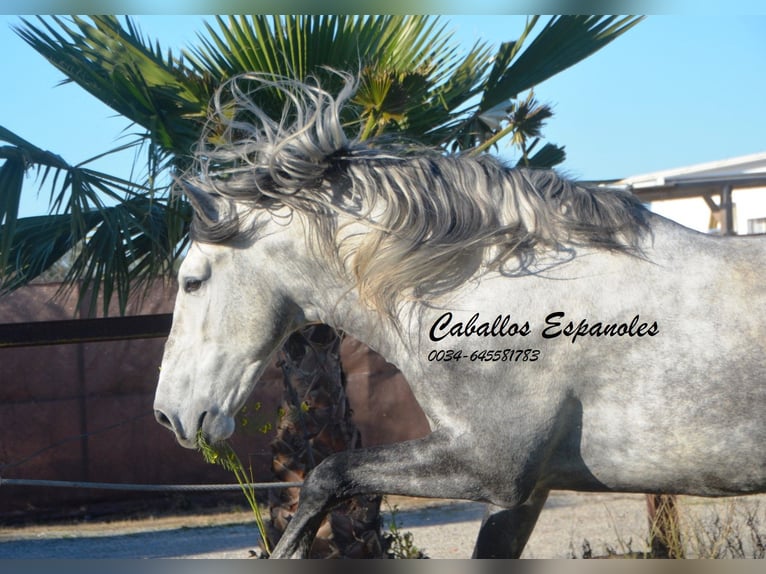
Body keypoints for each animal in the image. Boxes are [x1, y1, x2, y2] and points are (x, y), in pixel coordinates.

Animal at [153, 74, 764, 560]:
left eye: (192, 281)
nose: (167, 415)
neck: (497, 285)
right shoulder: (523, 491)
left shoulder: (489, 465)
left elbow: (328, 474)